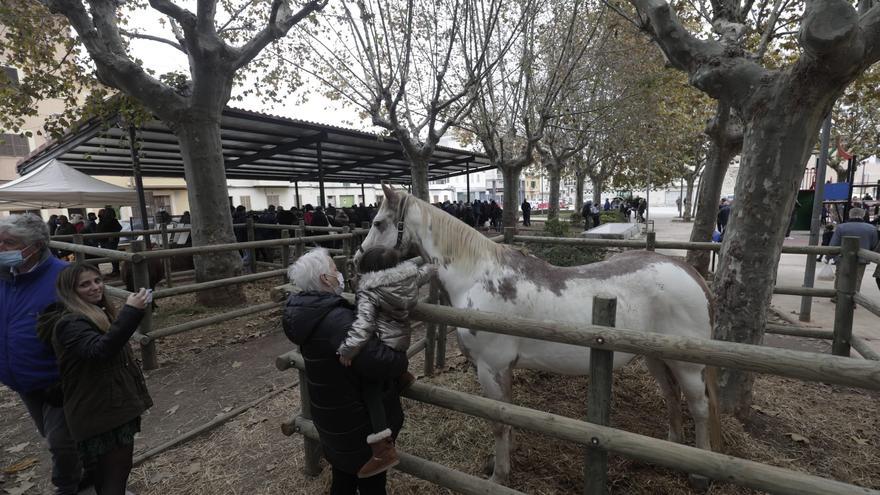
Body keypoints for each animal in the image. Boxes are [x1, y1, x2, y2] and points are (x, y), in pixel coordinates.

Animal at [354, 186, 720, 484]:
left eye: (379, 223)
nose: (357, 260)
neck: (479, 278)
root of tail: (690, 273)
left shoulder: (491, 367)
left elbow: (498, 421)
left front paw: (499, 475)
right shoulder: (503, 369)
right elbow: (509, 414)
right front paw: (504, 459)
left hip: (687, 366)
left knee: (700, 407)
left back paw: (700, 472)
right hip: (655, 357)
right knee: (672, 396)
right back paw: (672, 448)